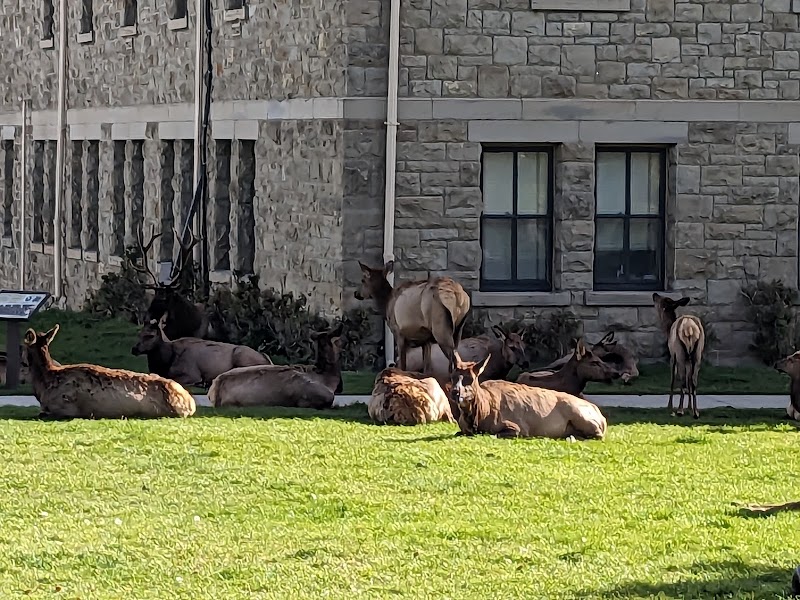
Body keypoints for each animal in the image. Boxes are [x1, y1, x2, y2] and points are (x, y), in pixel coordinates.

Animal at [131, 314, 273, 388]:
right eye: (139, 334)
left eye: (150, 335)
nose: (134, 349)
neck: (166, 361)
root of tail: (267, 359)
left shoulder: (192, 374)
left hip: (241, 355)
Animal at [448, 352, 607, 440]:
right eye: (453, 377)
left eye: (471, 379)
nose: (455, 392)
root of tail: (602, 418)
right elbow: (458, 433)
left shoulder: (518, 428)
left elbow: (493, 434)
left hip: (580, 415)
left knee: (598, 434)